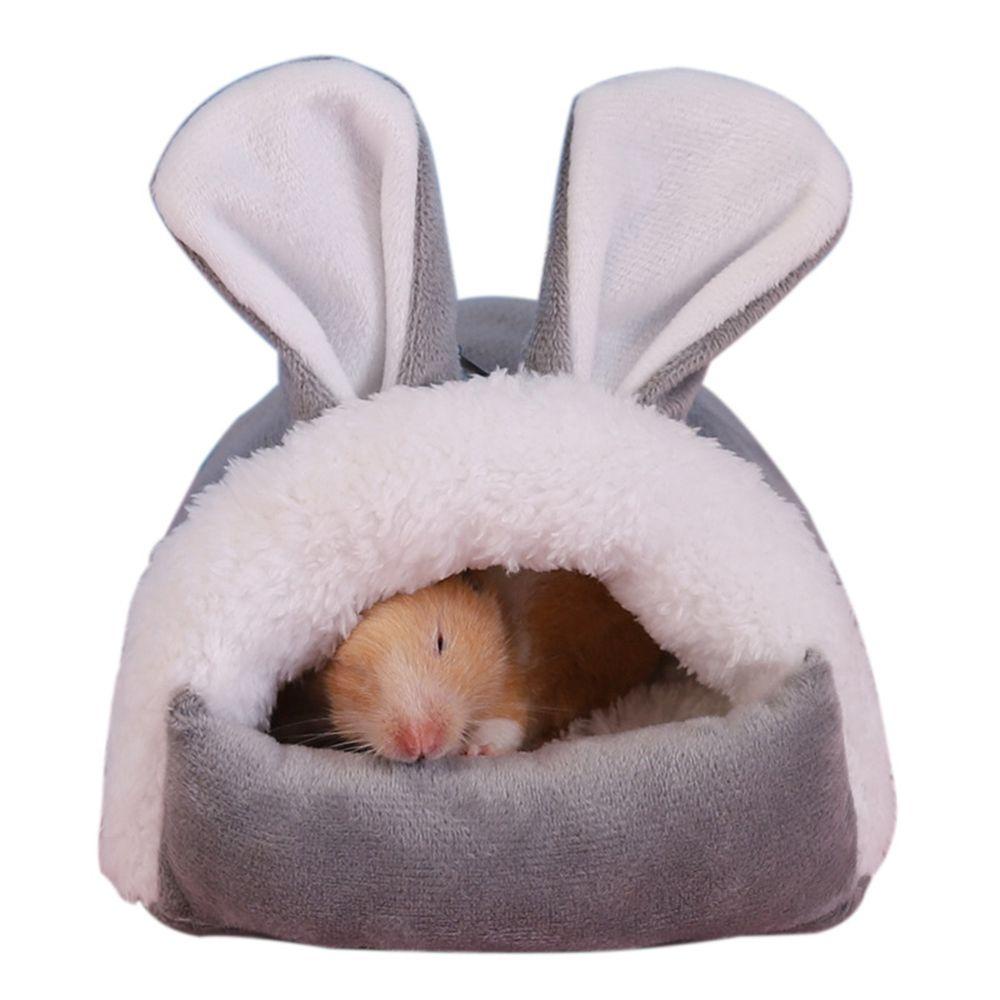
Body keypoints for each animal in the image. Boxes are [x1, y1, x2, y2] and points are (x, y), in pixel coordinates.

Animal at [317, 568, 666, 762]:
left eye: (440, 642)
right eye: (359, 674)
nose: (420, 745)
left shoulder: (511, 678)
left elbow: (504, 721)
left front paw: (476, 751)